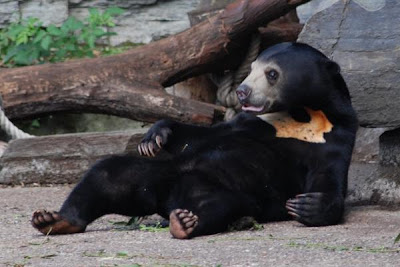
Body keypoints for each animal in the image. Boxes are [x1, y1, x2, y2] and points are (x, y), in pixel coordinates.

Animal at [30, 42, 356, 241]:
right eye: (250, 69)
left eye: (272, 73)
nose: (242, 92)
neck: (299, 115)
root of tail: (166, 199)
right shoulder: (249, 123)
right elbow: (204, 133)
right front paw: (154, 137)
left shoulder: (333, 139)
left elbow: (329, 179)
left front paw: (307, 205)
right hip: (152, 174)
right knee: (106, 175)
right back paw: (53, 219)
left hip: (227, 192)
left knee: (218, 205)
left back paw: (185, 223)